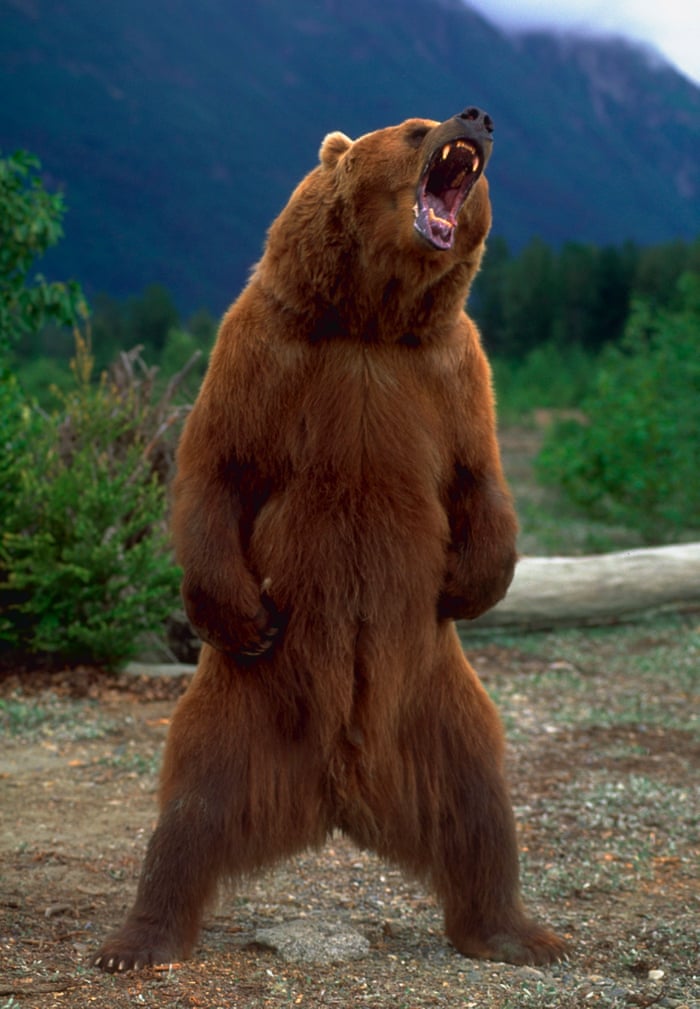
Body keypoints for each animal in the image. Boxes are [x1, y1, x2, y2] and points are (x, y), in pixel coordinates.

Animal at [94, 106, 566, 971]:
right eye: (415, 127)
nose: (478, 116)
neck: (368, 320)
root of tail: (340, 790)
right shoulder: (265, 348)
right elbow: (218, 465)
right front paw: (239, 611)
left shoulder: (449, 368)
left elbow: (478, 476)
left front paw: (467, 582)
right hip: (242, 704)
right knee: (191, 804)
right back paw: (139, 938)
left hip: (438, 705)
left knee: (480, 802)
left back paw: (519, 932)